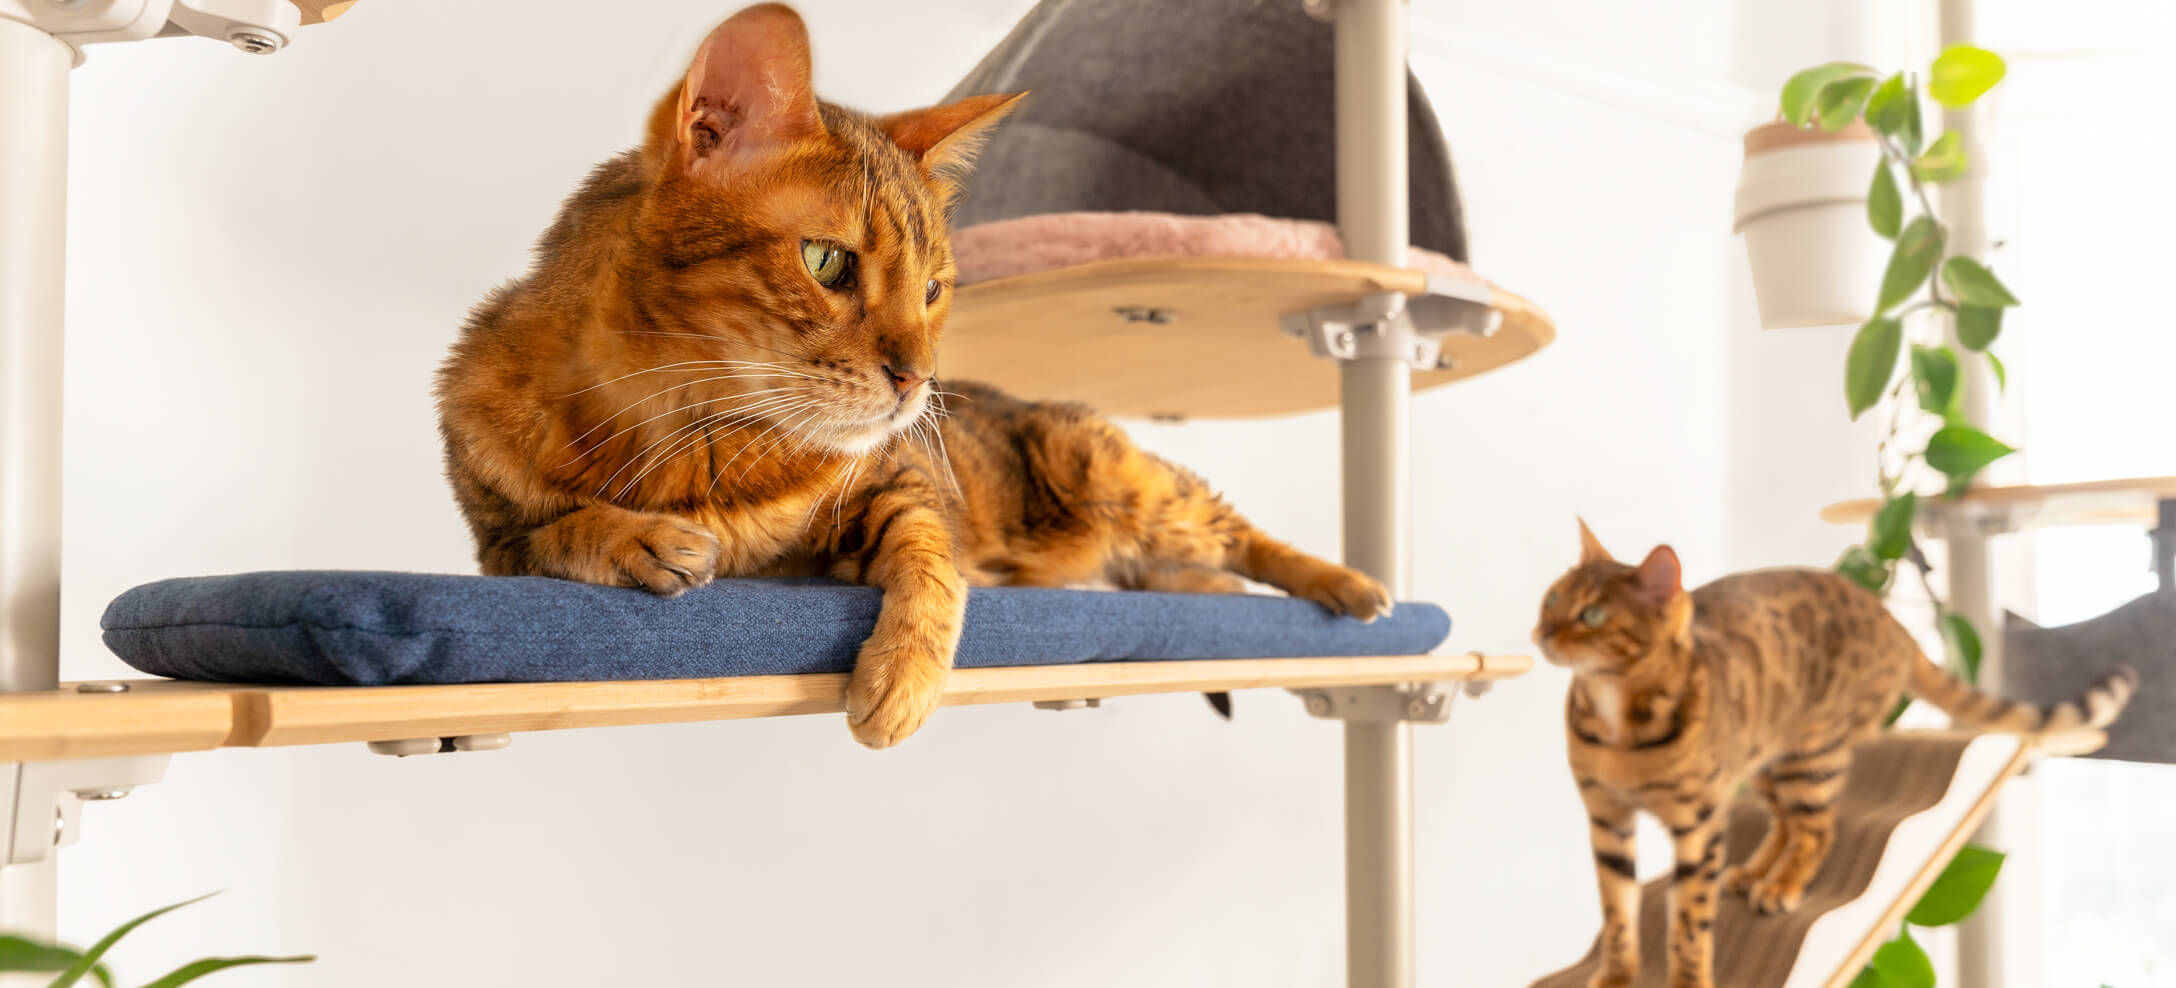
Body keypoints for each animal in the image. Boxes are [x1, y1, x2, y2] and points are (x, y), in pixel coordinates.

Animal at [430, 5, 1383, 748]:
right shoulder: (493, 547)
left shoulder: (899, 479)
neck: (689, 435)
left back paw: (1349, 587)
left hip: (1122, 477)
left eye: (933, 290)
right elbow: (554, 534)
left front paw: (902, 677)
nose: (921, 380)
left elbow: (930, 557)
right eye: (827, 261)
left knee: (1239, 532)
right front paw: (638, 538)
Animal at [1540, 520, 2132, 983]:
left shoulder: (1699, 825)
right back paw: (1757, 873)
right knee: (1786, 822)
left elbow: (1690, 919)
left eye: (1592, 616)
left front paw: (1689, 979)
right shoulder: (1607, 818)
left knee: (1816, 829)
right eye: (1550, 600)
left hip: (1812, 755)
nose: (1540, 631)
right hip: (1767, 759)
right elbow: (1617, 909)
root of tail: (1894, 623)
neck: (1617, 724)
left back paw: (1781, 885)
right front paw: (1615, 976)